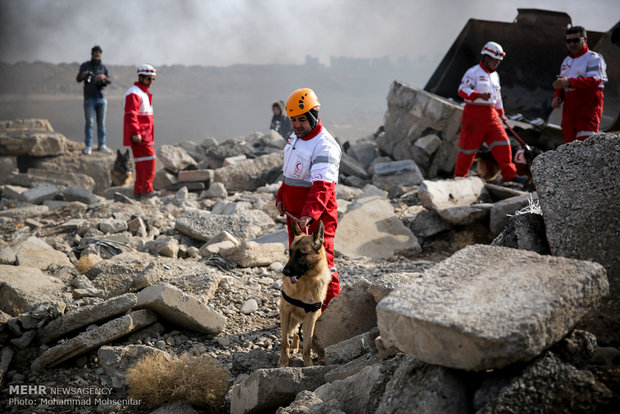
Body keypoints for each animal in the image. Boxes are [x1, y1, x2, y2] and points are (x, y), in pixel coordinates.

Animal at [278, 222, 332, 368]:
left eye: (301, 254)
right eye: (290, 252)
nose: (284, 272)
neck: (306, 281)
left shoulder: (311, 317)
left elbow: (308, 344)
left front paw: (308, 364)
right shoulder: (285, 311)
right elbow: (284, 341)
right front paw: (283, 362)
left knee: (300, 333)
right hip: (290, 320)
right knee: (294, 331)